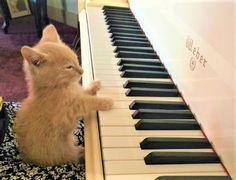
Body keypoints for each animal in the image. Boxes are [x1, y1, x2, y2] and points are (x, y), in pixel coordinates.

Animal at [13, 24, 113, 166]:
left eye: (76, 59)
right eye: (69, 67)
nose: (82, 71)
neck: (58, 86)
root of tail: (28, 158)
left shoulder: (77, 93)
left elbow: (84, 93)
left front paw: (94, 85)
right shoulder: (68, 110)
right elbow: (87, 101)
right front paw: (105, 101)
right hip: (63, 153)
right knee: (73, 155)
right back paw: (82, 153)